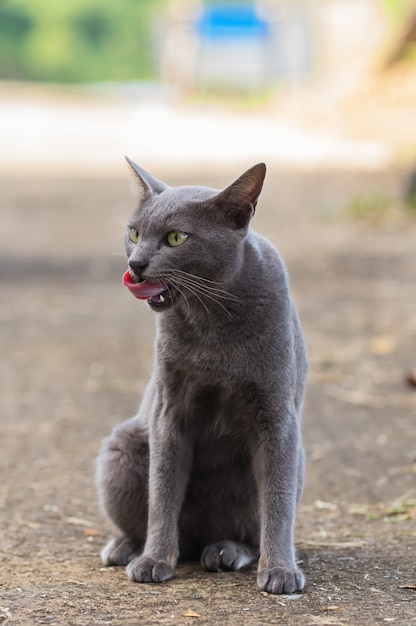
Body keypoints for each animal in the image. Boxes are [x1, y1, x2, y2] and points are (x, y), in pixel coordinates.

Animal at [96, 158, 308, 592]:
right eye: (134, 232)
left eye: (176, 238)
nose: (135, 264)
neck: (211, 318)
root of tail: (197, 541)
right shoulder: (169, 412)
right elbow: (163, 491)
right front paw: (155, 560)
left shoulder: (277, 417)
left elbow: (277, 500)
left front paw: (281, 570)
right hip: (122, 450)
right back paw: (126, 548)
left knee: (245, 528)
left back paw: (227, 551)